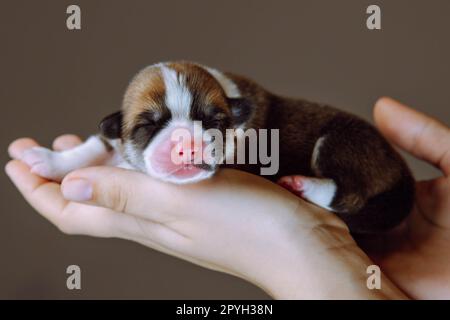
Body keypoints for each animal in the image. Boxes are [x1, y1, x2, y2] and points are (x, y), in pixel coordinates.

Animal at [21, 61, 414, 234]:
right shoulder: (112, 133)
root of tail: (400, 167)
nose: (187, 146)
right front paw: (47, 159)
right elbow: (96, 142)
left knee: (349, 194)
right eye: (149, 125)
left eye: (212, 121)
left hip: (341, 143)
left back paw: (303, 185)